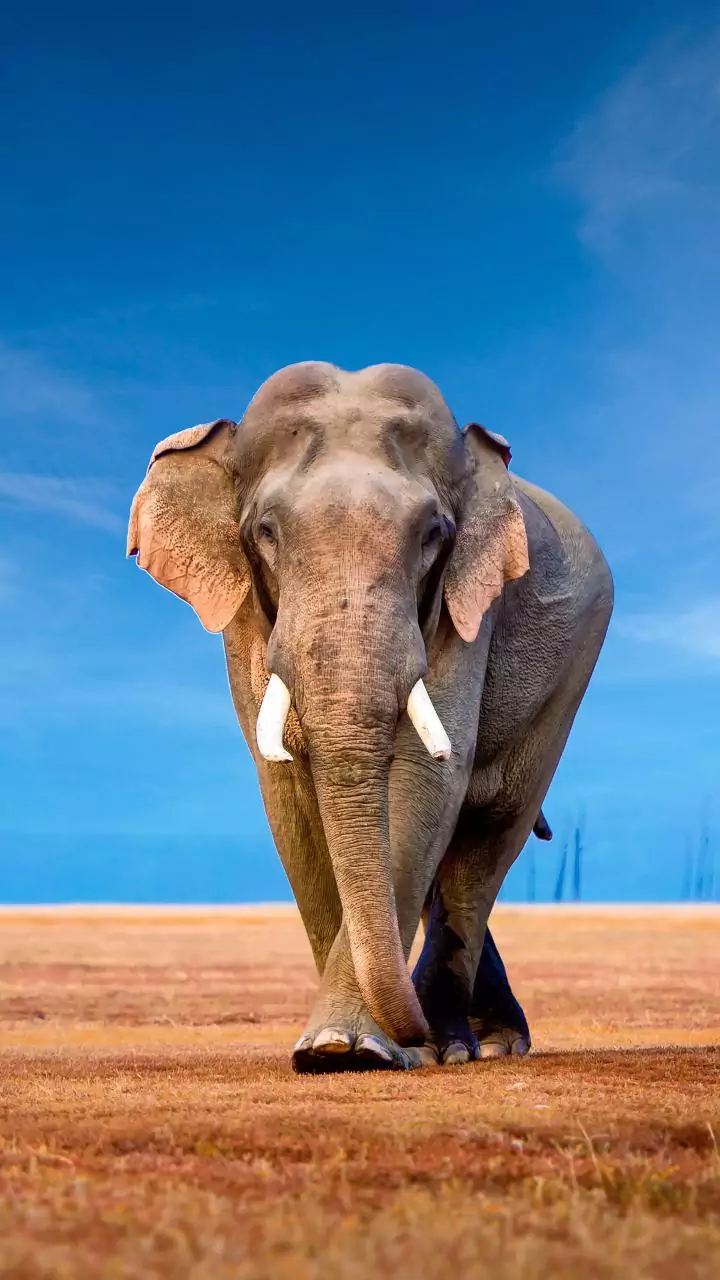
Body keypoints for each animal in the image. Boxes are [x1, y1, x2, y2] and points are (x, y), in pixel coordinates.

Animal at [127, 362, 613, 1072]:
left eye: (433, 534)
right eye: (266, 532)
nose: (409, 1037)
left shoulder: (468, 601)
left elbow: (424, 778)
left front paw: (354, 1048)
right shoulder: (246, 613)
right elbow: (290, 793)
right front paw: (333, 1049)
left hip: (575, 664)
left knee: (486, 838)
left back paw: (471, 1046)